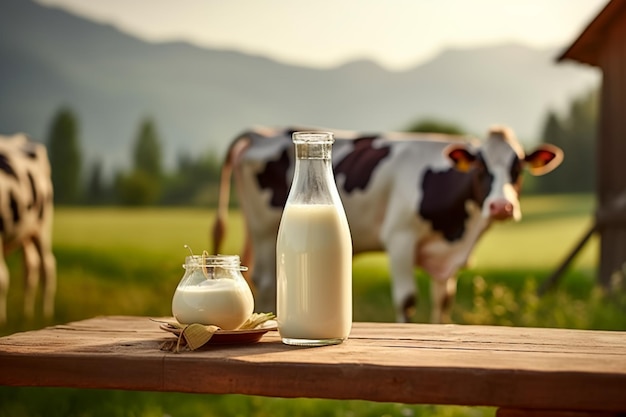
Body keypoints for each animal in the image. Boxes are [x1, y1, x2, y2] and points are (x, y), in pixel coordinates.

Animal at [0, 132, 55, 322]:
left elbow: (2, 278)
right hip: (26, 233)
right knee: (31, 267)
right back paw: (27, 314)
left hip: (42, 225)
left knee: (47, 265)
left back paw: (45, 314)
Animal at [212, 125, 564, 324]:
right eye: (480, 168)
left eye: (518, 168)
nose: (502, 206)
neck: (457, 233)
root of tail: (263, 132)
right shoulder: (401, 239)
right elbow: (406, 302)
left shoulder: (447, 259)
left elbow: (443, 305)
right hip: (263, 231)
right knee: (266, 281)